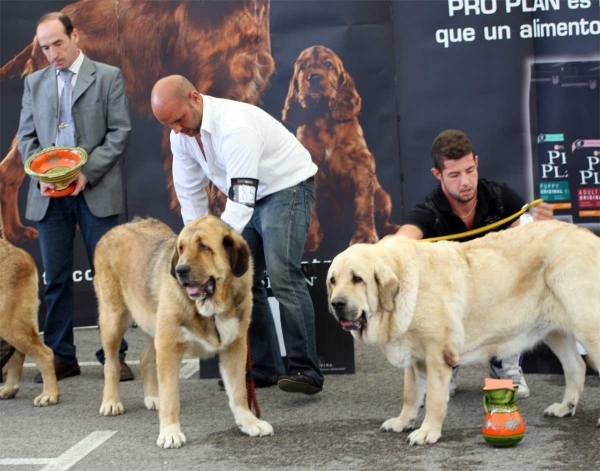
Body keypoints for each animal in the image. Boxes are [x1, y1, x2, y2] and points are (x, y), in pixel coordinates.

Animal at [0, 240, 58, 406]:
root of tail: (20, 252)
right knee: (18, 353)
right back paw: (9, 388)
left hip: (9, 323)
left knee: (45, 354)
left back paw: (49, 394)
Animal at [95, 216, 274, 448]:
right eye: (181, 248)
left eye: (204, 246)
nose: (180, 270)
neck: (210, 309)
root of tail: (118, 228)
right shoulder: (169, 346)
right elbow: (171, 397)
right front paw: (170, 432)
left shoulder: (235, 347)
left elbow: (239, 392)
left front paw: (249, 422)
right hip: (114, 320)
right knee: (111, 364)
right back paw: (111, 402)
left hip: (152, 324)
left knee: (145, 358)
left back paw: (153, 397)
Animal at [282, 44, 398, 253]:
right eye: (302, 67)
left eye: (328, 65)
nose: (313, 77)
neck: (322, 117)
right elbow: (310, 211)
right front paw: (310, 241)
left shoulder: (361, 165)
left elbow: (363, 205)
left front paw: (364, 236)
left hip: (384, 197)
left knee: (382, 219)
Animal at [328, 221, 600, 446]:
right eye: (333, 280)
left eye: (357, 279)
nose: (336, 304)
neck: (404, 287)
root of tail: (589, 235)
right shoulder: (415, 360)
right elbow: (410, 395)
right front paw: (403, 422)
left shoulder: (437, 356)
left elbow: (435, 399)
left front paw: (428, 432)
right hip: (556, 331)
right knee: (576, 366)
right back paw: (565, 407)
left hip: (588, 326)